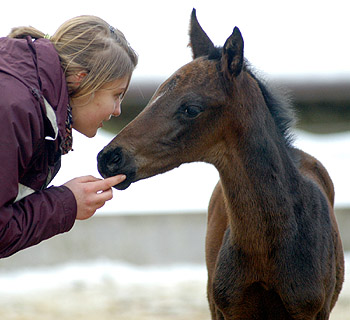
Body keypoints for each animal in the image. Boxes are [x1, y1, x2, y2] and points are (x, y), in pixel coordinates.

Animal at [98, 10, 344, 320]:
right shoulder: (227, 310)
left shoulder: (311, 311)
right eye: (157, 93)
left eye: (191, 108)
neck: (267, 251)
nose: (109, 158)